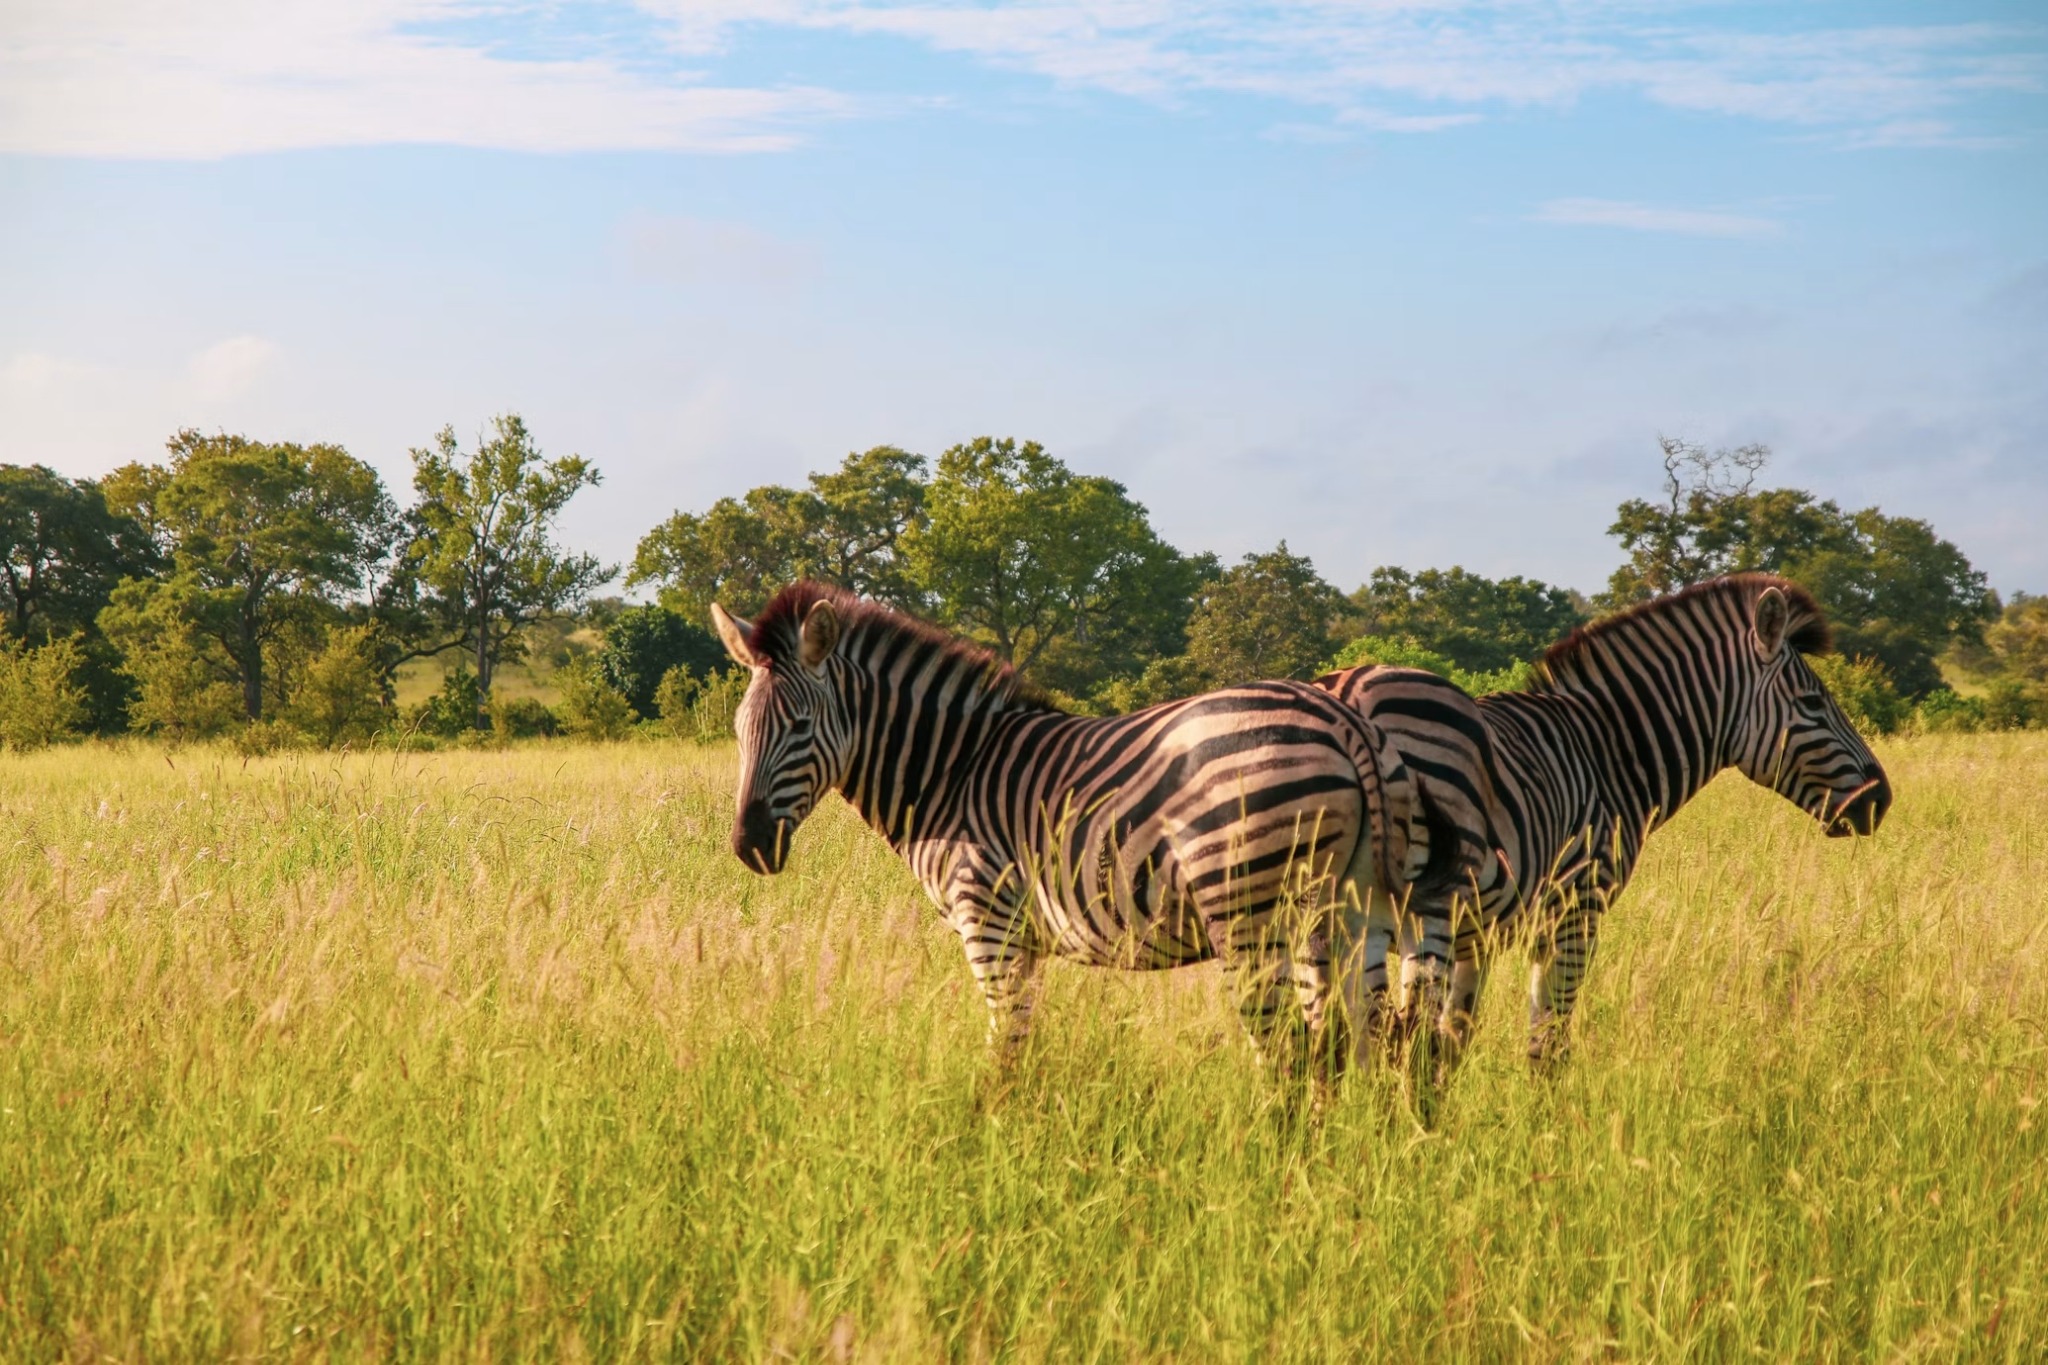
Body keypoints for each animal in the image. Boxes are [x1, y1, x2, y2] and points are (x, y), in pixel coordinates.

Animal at [709, 580, 1428, 1083]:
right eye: (738, 729)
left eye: (801, 726)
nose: (750, 846)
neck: (954, 769)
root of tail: (1341, 719)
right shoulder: (1022, 937)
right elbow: (1023, 1045)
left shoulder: (988, 920)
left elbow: (1006, 1047)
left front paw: (995, 1151)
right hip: (1350, 908)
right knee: (1363, 1041)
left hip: (1246, 911)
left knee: (1290, 1054)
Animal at [1313, 574, 1892, 1078]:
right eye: (1813, 703)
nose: (1881, 799)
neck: (1607, 753)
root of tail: (1349, 690)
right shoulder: (1576, 910)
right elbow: (1546, 1045)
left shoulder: (1479, 938)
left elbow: (1453, 1042)